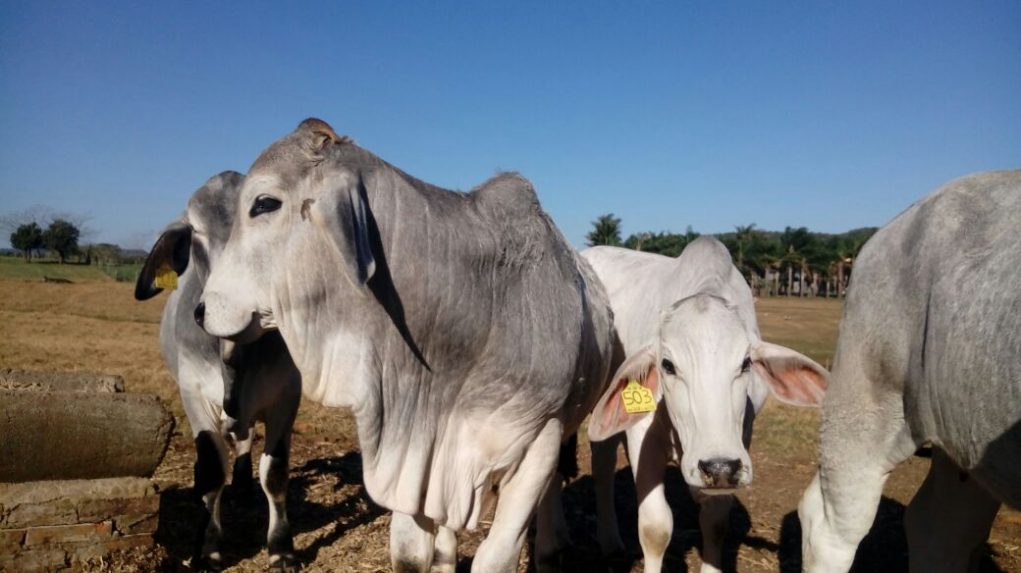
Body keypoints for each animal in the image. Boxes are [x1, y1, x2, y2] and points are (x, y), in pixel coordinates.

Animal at [134, 171, 298, 567]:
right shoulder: (194, 395)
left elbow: (275, 474)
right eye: (196, 232)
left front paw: (281, 547)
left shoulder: (287, 396)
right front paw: (208, 548)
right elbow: (210, 473)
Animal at [196, 118, 616, 567]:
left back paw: (551, 546)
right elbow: (411, 554)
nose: (200, 311)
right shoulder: (415, 465)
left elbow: (496, 555)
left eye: (263, 204)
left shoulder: (539, 441)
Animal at [584, 236, 829, 571]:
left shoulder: (742, 436)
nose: (719, 466)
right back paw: (609, 540)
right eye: (667, 365)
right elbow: (655, 527)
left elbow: (715, 522)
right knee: (603, 463)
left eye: (746, 363)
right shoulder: (642, 435)